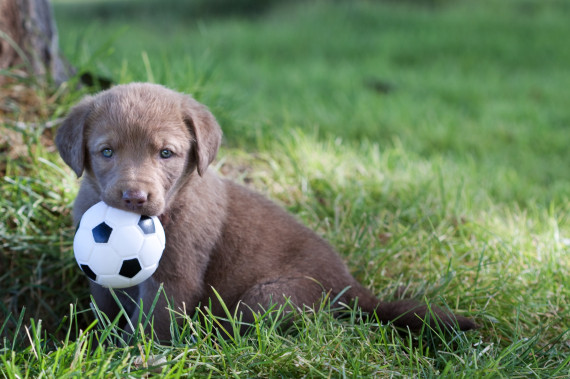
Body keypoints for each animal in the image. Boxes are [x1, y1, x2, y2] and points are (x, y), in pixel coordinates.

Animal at [54, 84, 474, 342]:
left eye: (166, 153)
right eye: (107, 152)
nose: (135, 197)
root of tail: (352, 287)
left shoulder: (173, 279)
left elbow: (152, 327)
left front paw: (134, 357)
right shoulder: (100, 280)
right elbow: (107, 312)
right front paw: (104, 344)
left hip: (267, 297)